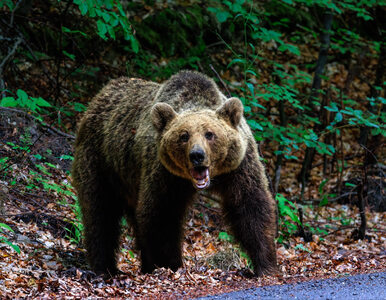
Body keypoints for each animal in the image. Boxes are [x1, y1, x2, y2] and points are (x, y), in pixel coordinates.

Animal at [71, 70, 278, 276]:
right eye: (184, 135)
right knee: (100, 213)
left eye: (210, 134)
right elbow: (162, 214)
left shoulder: (239, 166)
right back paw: (106, 267)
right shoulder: (165, 173)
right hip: (100, 162)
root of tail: (98, 97)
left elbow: (250, 205)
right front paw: (169, 264)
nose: (197, 155)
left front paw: (265, 264)